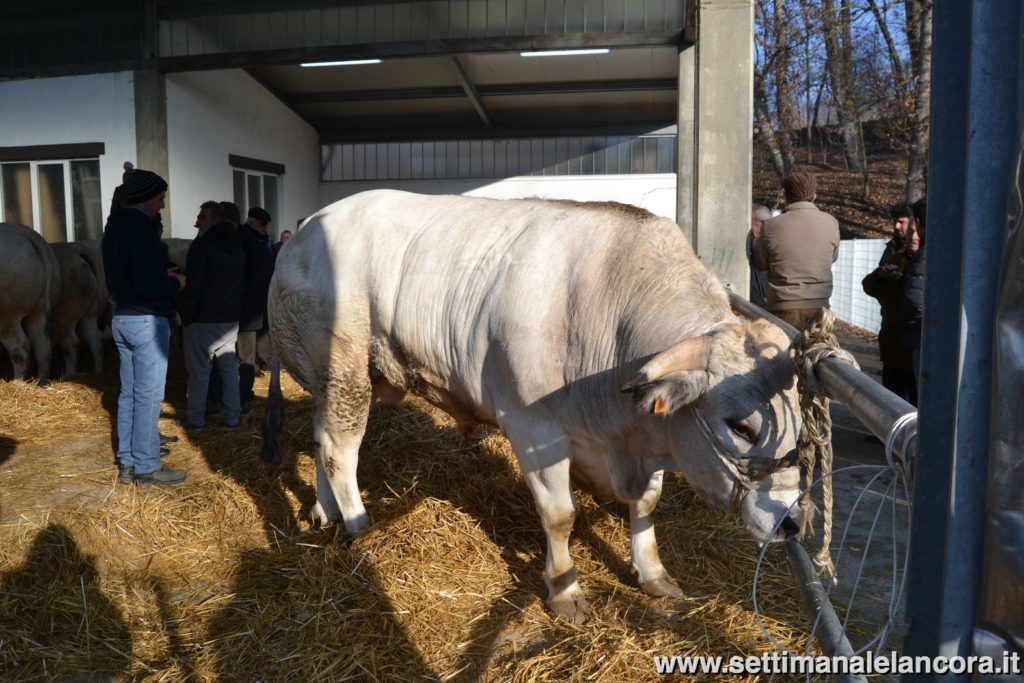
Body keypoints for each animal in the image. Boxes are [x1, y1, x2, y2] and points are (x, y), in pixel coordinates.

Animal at [262, 189, 798, 622]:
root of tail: (306, 229)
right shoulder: (533, 425)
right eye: (741, 426)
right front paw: (565, 592)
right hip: (345, 369)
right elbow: (560, 515)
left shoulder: (650, 433)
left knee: (320, 438)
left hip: (331, 381)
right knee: (340, 448)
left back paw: (324, 512)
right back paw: (357, 524)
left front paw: (653, 573)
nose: (792, 522)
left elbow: (646, 503)